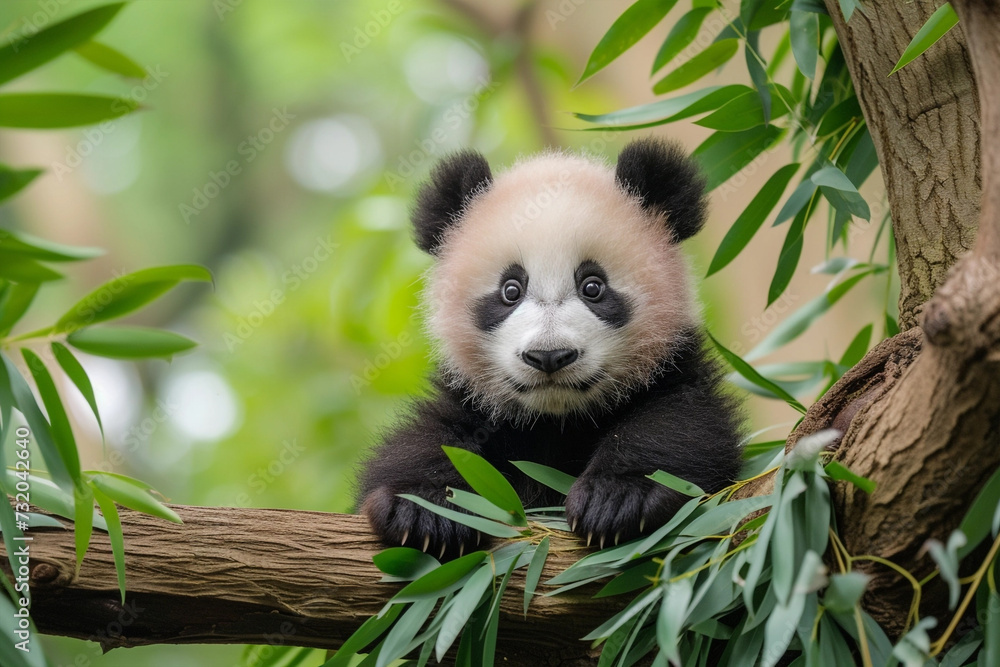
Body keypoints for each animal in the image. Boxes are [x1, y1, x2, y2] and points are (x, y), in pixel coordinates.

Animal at [359, 138, 744, 558]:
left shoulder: (674, 373)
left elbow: (681, 428)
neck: (556, 420)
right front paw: (426, 510)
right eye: (511, 290)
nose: (548, 356)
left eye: (593, 286)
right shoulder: (474, 402)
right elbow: (427, 442)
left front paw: (617, 498)